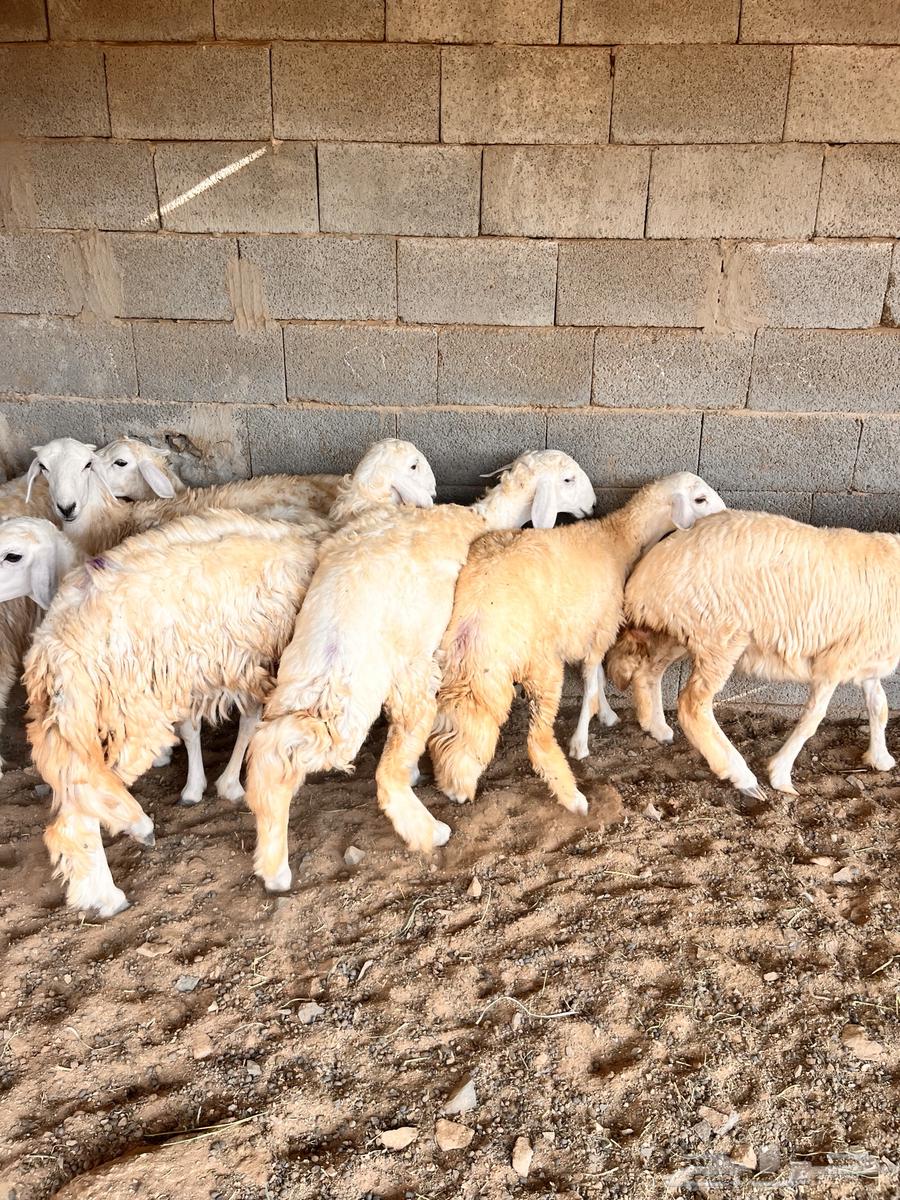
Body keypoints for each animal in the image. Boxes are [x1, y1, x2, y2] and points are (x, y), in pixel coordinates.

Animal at [25, 439, 437, 917]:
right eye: (414, 466)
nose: (433, 497)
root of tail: (51, 645)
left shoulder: (244, 663)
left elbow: (244, 724)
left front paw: (219, 784)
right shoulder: (258, 662)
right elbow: (250, 726)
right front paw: (223, 785)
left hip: (81, 721)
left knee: (72, 808)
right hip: (127, 713)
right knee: (79, 809)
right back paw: (112, 889)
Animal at [242, 449, 596, 893]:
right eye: (568, 479)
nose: (592, 506)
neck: (477, 517)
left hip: (300, 682)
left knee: (274, 750)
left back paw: (273, 866)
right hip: (395, 689)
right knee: (380, 772)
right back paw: (430, 830)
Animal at [426, 473, 725, 818]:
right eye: (700, 499)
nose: (725, 514)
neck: (617, 538)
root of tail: (476, 613)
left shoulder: (591, 631)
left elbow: (598, 679)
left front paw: (606, 715)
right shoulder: (600, 627)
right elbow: (591, 682)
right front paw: (581, 742)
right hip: (541, 664)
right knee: (538, 740)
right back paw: (573, 798)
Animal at [605, 508, 900, 800]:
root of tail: (644, 574)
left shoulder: (867, 662)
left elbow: (879, 707)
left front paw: (881, 758)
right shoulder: (833, 662)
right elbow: (813, 718)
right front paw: (780, 774)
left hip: (682, 629)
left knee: (649, 670)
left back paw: (656, 727)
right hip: (721, 635)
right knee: (692, 704)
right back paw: (742, 777)